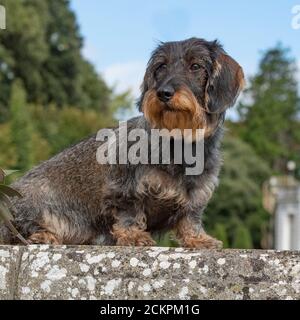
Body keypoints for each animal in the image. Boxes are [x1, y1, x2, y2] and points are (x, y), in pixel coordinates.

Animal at [0, 38, 244, 248]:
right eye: (161, 67)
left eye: (195, 66)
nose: (163, 93)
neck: (178, 142)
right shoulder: (124, 187)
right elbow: (129, 213)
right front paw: (133, 235)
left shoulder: (196, 195)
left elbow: (189, 218)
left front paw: (197, 238)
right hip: (32, 202)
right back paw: (43, 235)